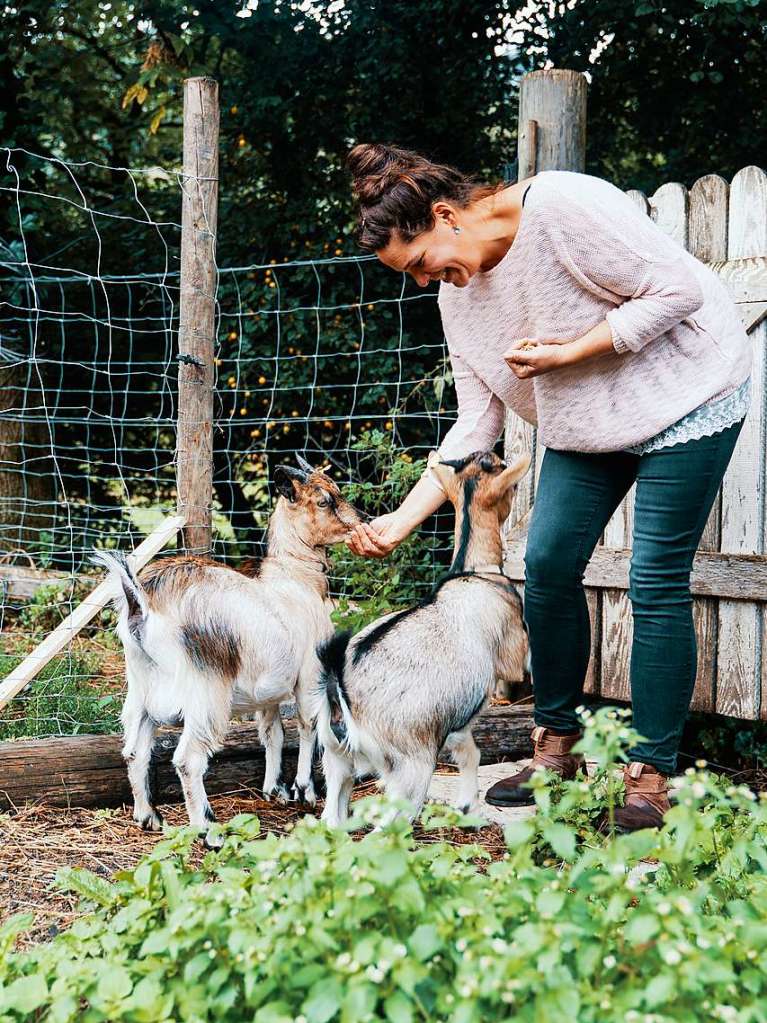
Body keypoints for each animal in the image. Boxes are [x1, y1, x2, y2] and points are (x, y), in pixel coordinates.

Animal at [95, 460, 359, 842]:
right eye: (325, 500)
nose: (360, 521)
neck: (295, 580)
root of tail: (141, 605)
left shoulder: (267, 689)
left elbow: (272, 732)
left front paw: (274, 789)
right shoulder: (310, 674)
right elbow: (308, 725)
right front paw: (304, 790)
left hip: (141, 691)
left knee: (133, 751)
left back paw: (148, 816)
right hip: (207, 693)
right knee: (187, 759)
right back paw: (208, 830)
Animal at [314, 452, 531, 826]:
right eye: (508, 480)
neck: (473, 572)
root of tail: (340, 687)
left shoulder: (456, 722)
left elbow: (470, 752)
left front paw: (469, 807)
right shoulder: (512, 653)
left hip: (335, 755)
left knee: (332, 817)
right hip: (410, 767)